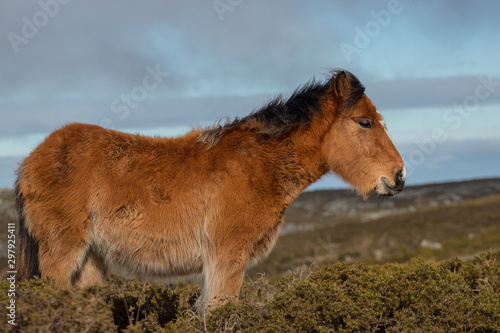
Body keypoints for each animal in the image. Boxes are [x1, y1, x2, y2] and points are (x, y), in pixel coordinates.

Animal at [15, 69, 406, 308]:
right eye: (365, 122)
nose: (399, 176)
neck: (257, 165)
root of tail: (32, 159)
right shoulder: (227, 256)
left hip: (90, 261)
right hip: (63, 253)